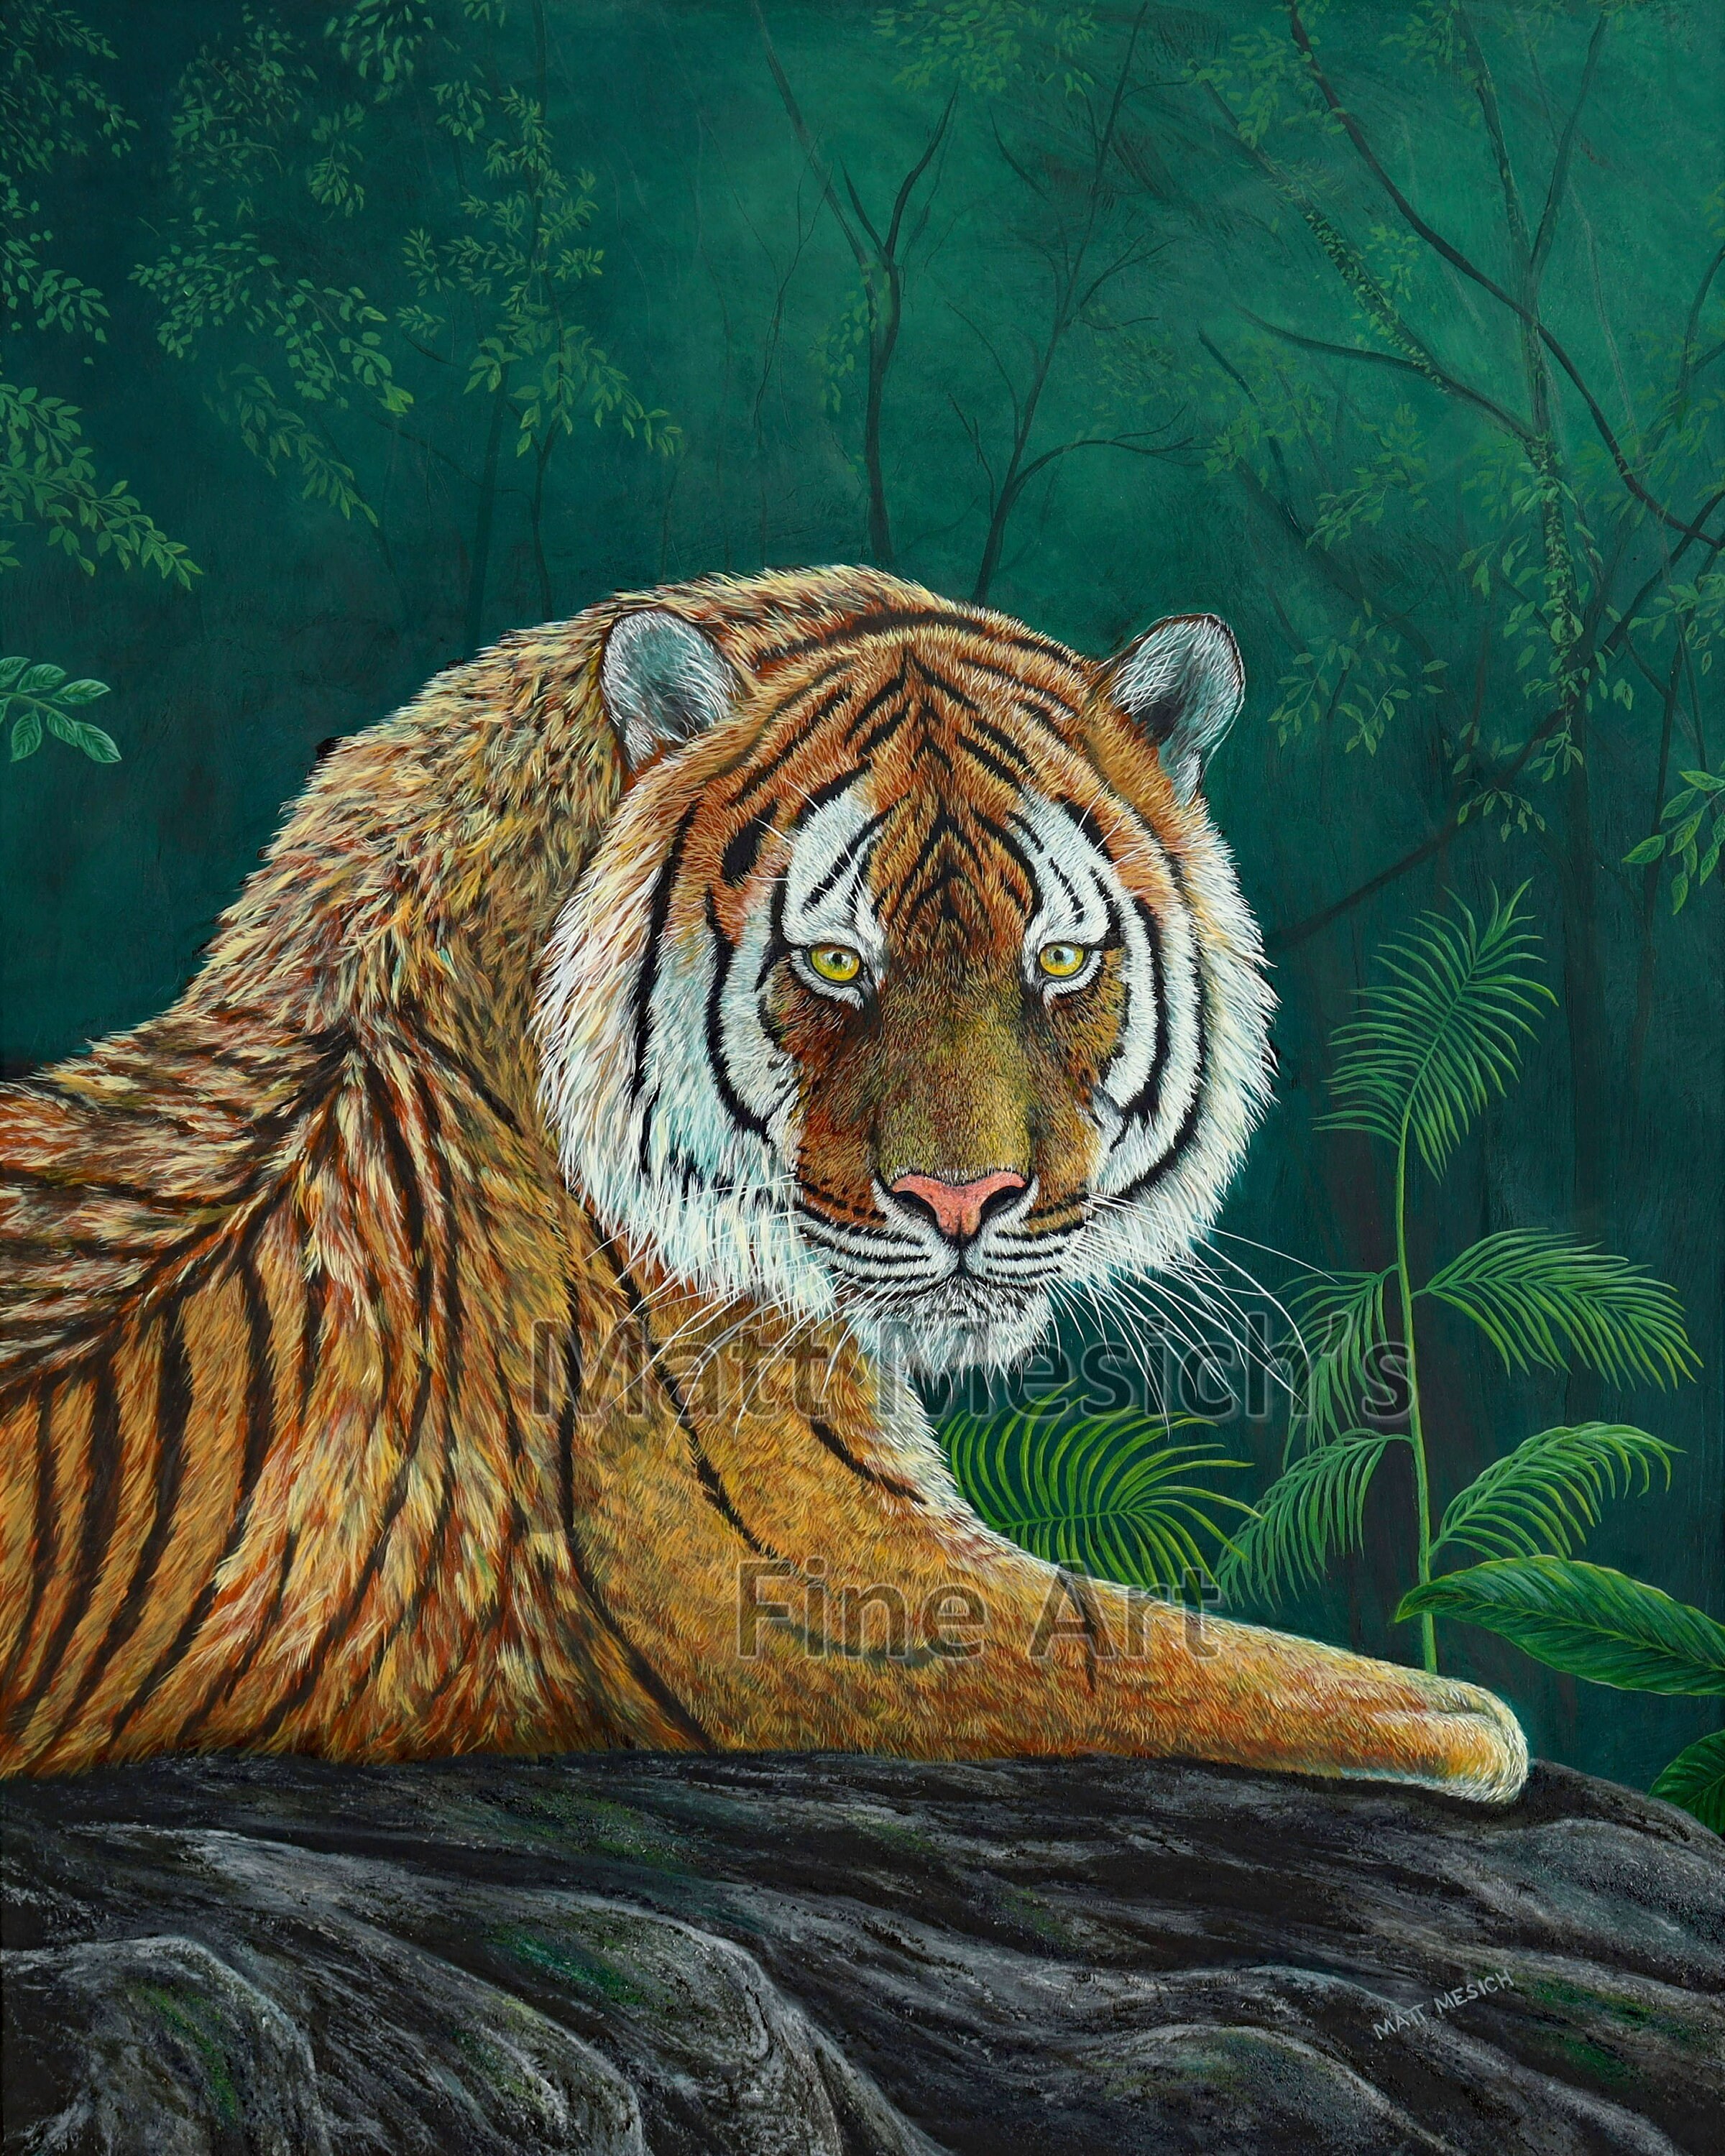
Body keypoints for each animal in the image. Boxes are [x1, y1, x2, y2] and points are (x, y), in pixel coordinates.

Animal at [0, 566, 1526, 1798]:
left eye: (1059, 961)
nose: (964, 1205)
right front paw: (1473, 1718)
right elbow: (1161, 1646)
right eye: (837, 963)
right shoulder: (797, 1569)